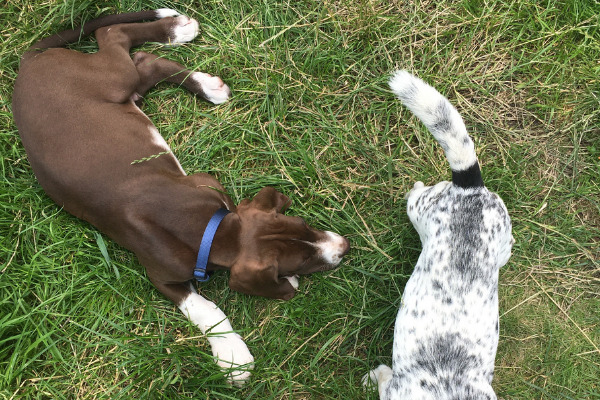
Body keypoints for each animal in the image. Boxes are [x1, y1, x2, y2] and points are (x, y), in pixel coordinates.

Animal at [11, 8, 350, 384]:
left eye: (304, 224)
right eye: (301, 261)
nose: (345, 247)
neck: (205, 230)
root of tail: (28, 61)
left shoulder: (209, 186)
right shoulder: (161, 275)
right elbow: (204, 308)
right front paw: (233, 355)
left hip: (117, 84)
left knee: (130, 50)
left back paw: (187, 49)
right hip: (113, 82)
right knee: (118, 41)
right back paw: (184, 46)